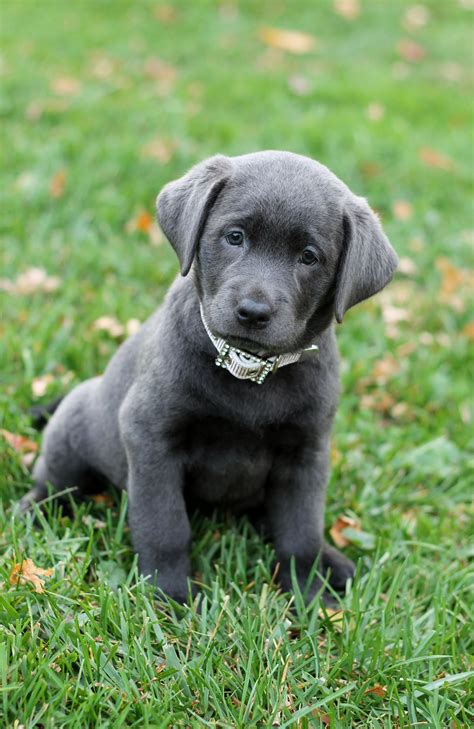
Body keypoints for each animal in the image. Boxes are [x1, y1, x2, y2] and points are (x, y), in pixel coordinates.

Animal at [23, 149, 400, 604]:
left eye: (309, 257)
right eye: (235, 236)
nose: (253, 312)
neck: (249, 369)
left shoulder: (306, 453)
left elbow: (301, 530)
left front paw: (310, 594)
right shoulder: (151, 437)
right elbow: (165, 527)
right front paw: (168, 596)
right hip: (73, 436)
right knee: (54, 480)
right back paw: (32, 510)